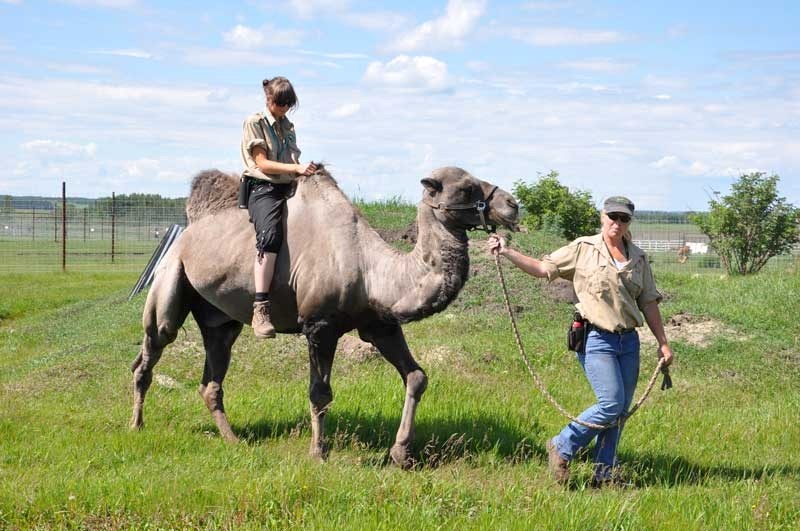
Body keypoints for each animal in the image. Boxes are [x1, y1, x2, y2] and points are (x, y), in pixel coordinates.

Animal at [130, 164, 520, 468]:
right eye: (467, 187)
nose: (512, 205)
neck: (372, 270)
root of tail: (186, 234)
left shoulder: (379, 325)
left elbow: (417, 377)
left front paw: (401, 453)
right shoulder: (319, 325)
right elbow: (320, 392)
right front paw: (319, 453)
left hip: (219, 317)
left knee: (212, 374)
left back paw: (233, 439)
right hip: (170, 281)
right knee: (151, 349)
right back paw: (136, 425)